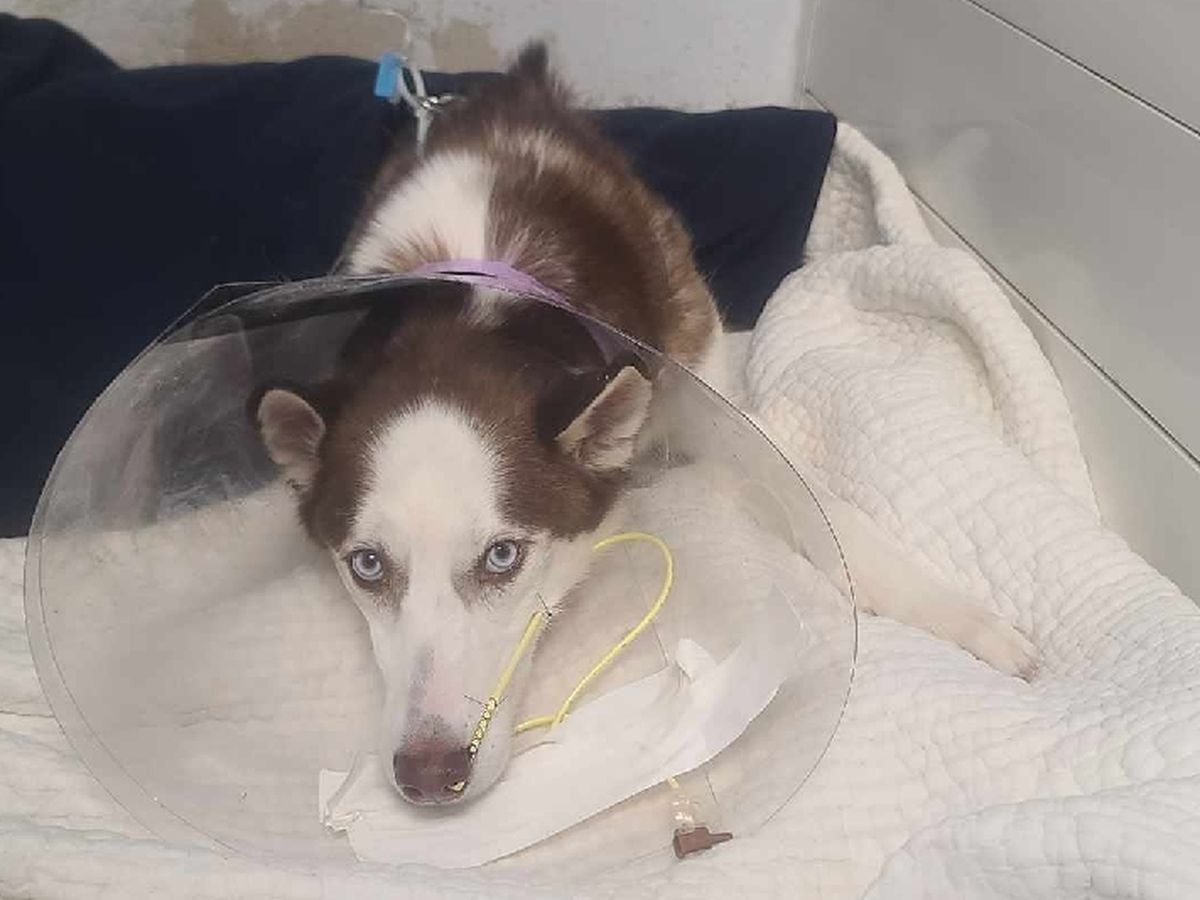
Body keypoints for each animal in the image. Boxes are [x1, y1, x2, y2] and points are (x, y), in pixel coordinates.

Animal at [254, 45, 1035, 808]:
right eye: (367, 565)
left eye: (503, 556)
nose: (426, 775)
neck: (477, 307)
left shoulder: (700, 391)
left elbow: (823, 506)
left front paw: (958, 615)